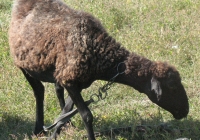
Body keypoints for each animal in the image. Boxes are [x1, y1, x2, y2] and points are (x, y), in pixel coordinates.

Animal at [8, 0, 189, 139]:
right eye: (172, 87)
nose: (185, 111)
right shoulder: (71, 81)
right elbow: (87, 115)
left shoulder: (76, 82)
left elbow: (66, 112)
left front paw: (57, 132)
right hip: (22, 64)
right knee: (39, 91)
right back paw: (38, 129)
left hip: (56, 70)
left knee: (56, 89)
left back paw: (65, 125)